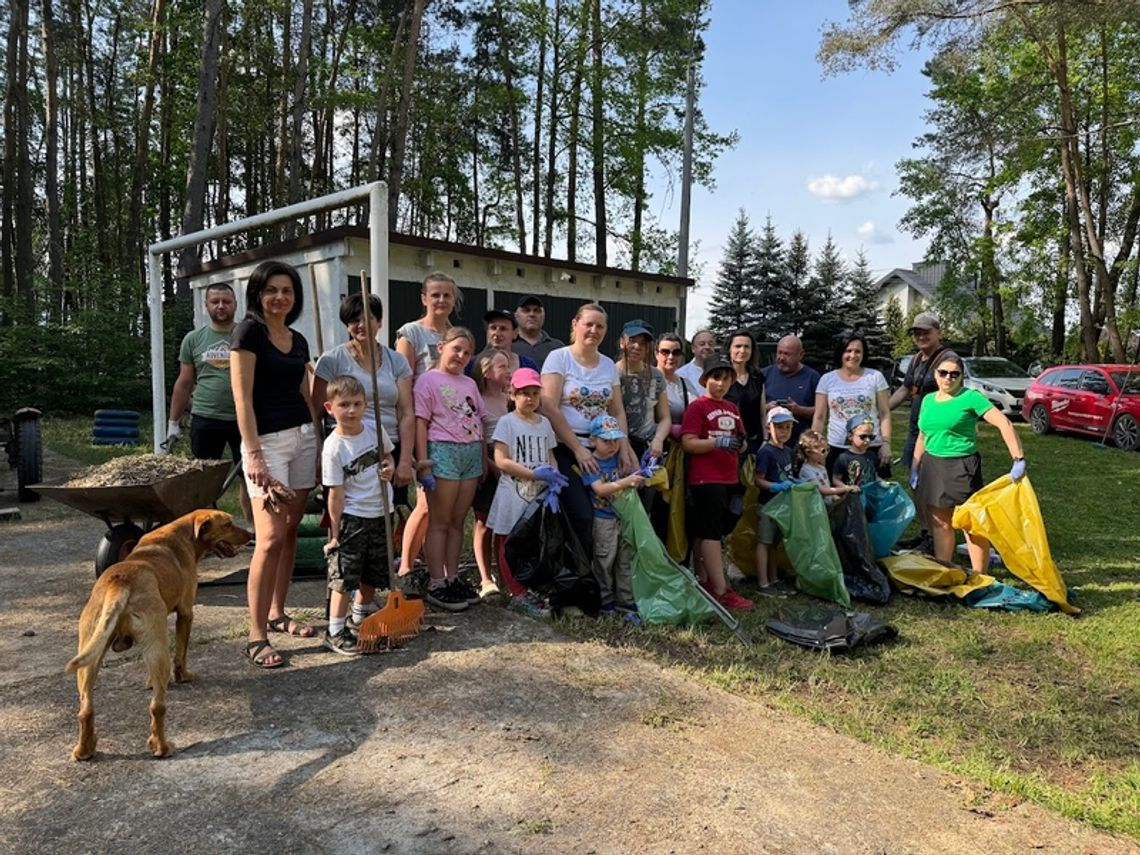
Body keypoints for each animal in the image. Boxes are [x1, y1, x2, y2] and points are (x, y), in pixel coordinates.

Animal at [66, 508, 249, 761]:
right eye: (228, 524)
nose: (251, 535)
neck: (182, 534)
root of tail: (120, 583)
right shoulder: (186, 613)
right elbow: (181, 653)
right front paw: (183, 675)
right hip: (158, 646)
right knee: (157, 707)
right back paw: (162, 747)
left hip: (89, 657)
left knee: (85, 710)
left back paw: (85, 749)